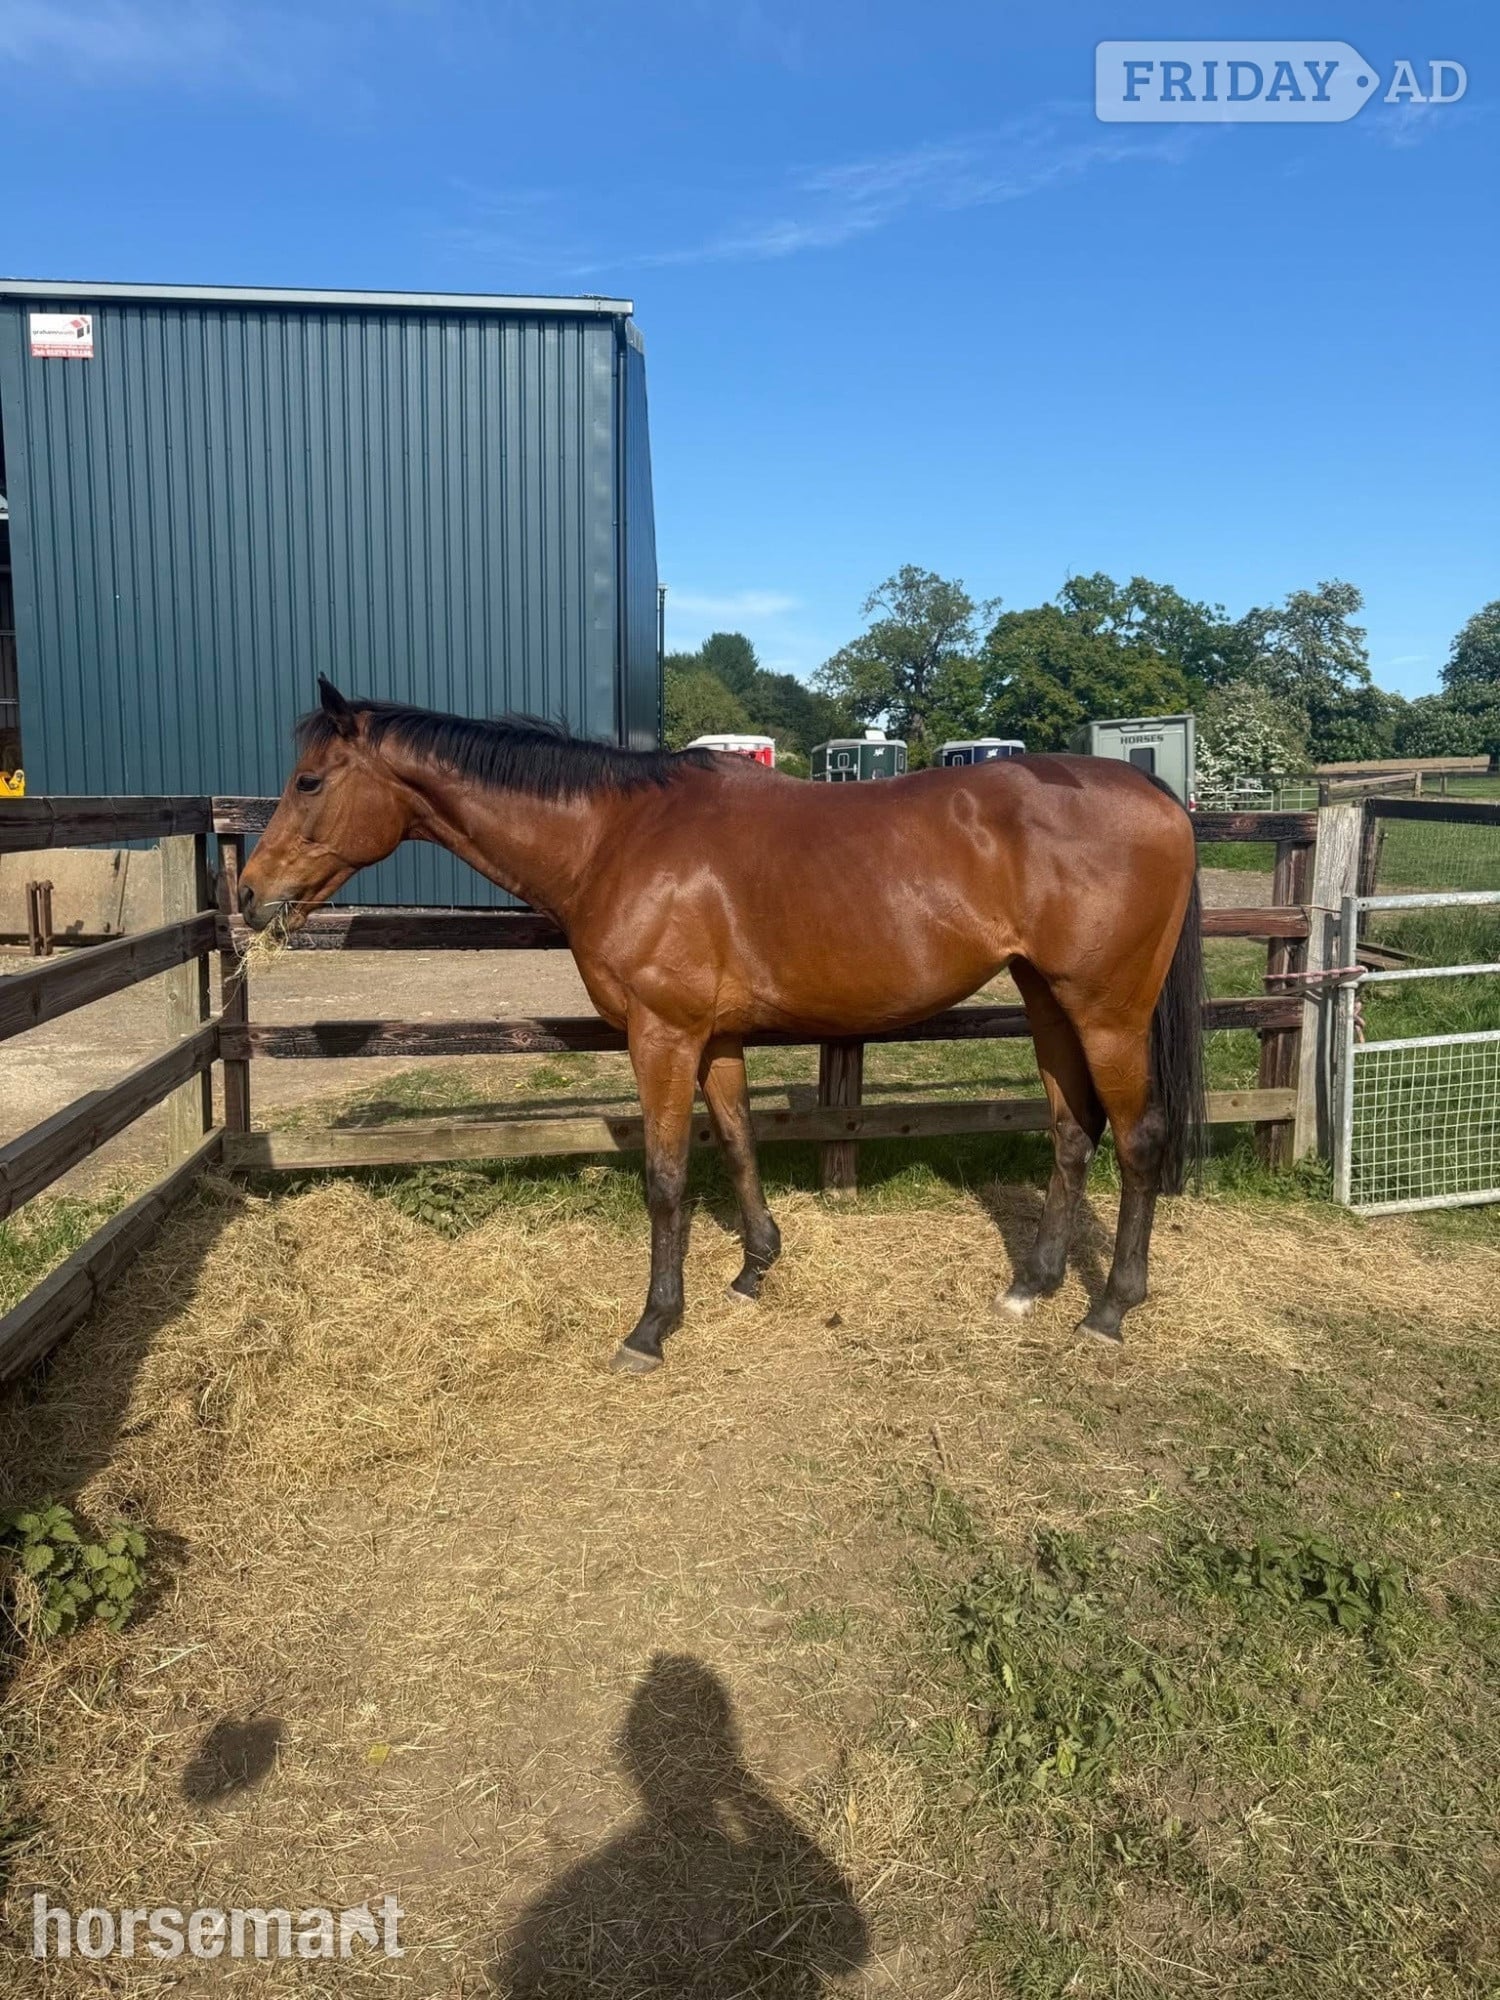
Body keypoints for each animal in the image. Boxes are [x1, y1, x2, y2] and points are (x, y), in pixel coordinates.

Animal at [239, 678, 1205, 1374]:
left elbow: (666, 1179)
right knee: (1071, 1132)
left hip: (1109, 1013)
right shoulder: (719, 1038)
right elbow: (739, 1142)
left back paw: (1110, 1308)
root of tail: (1154, 789)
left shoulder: (661, 1035)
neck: (617, 837)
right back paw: (1033, 1284)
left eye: (310, 780)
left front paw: (652, 1326)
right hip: (1048, 1002)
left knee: (1138, 1140)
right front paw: (753, 1269)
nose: (249, 894)